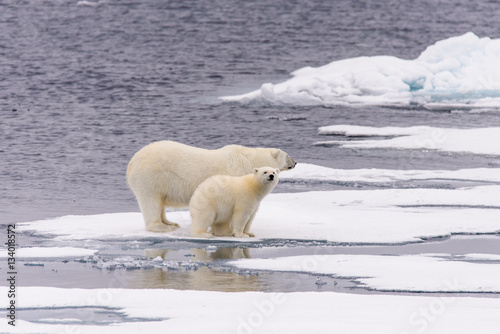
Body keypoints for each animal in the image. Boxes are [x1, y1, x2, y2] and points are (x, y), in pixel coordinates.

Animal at [127, 140, 296, 232]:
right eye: (288, 155)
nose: (295, 162)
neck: (248, 159)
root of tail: (131, 162)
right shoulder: (233, 174)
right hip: (151, 176)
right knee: (151, 201)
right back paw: (163, 227)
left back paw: (170, 222)